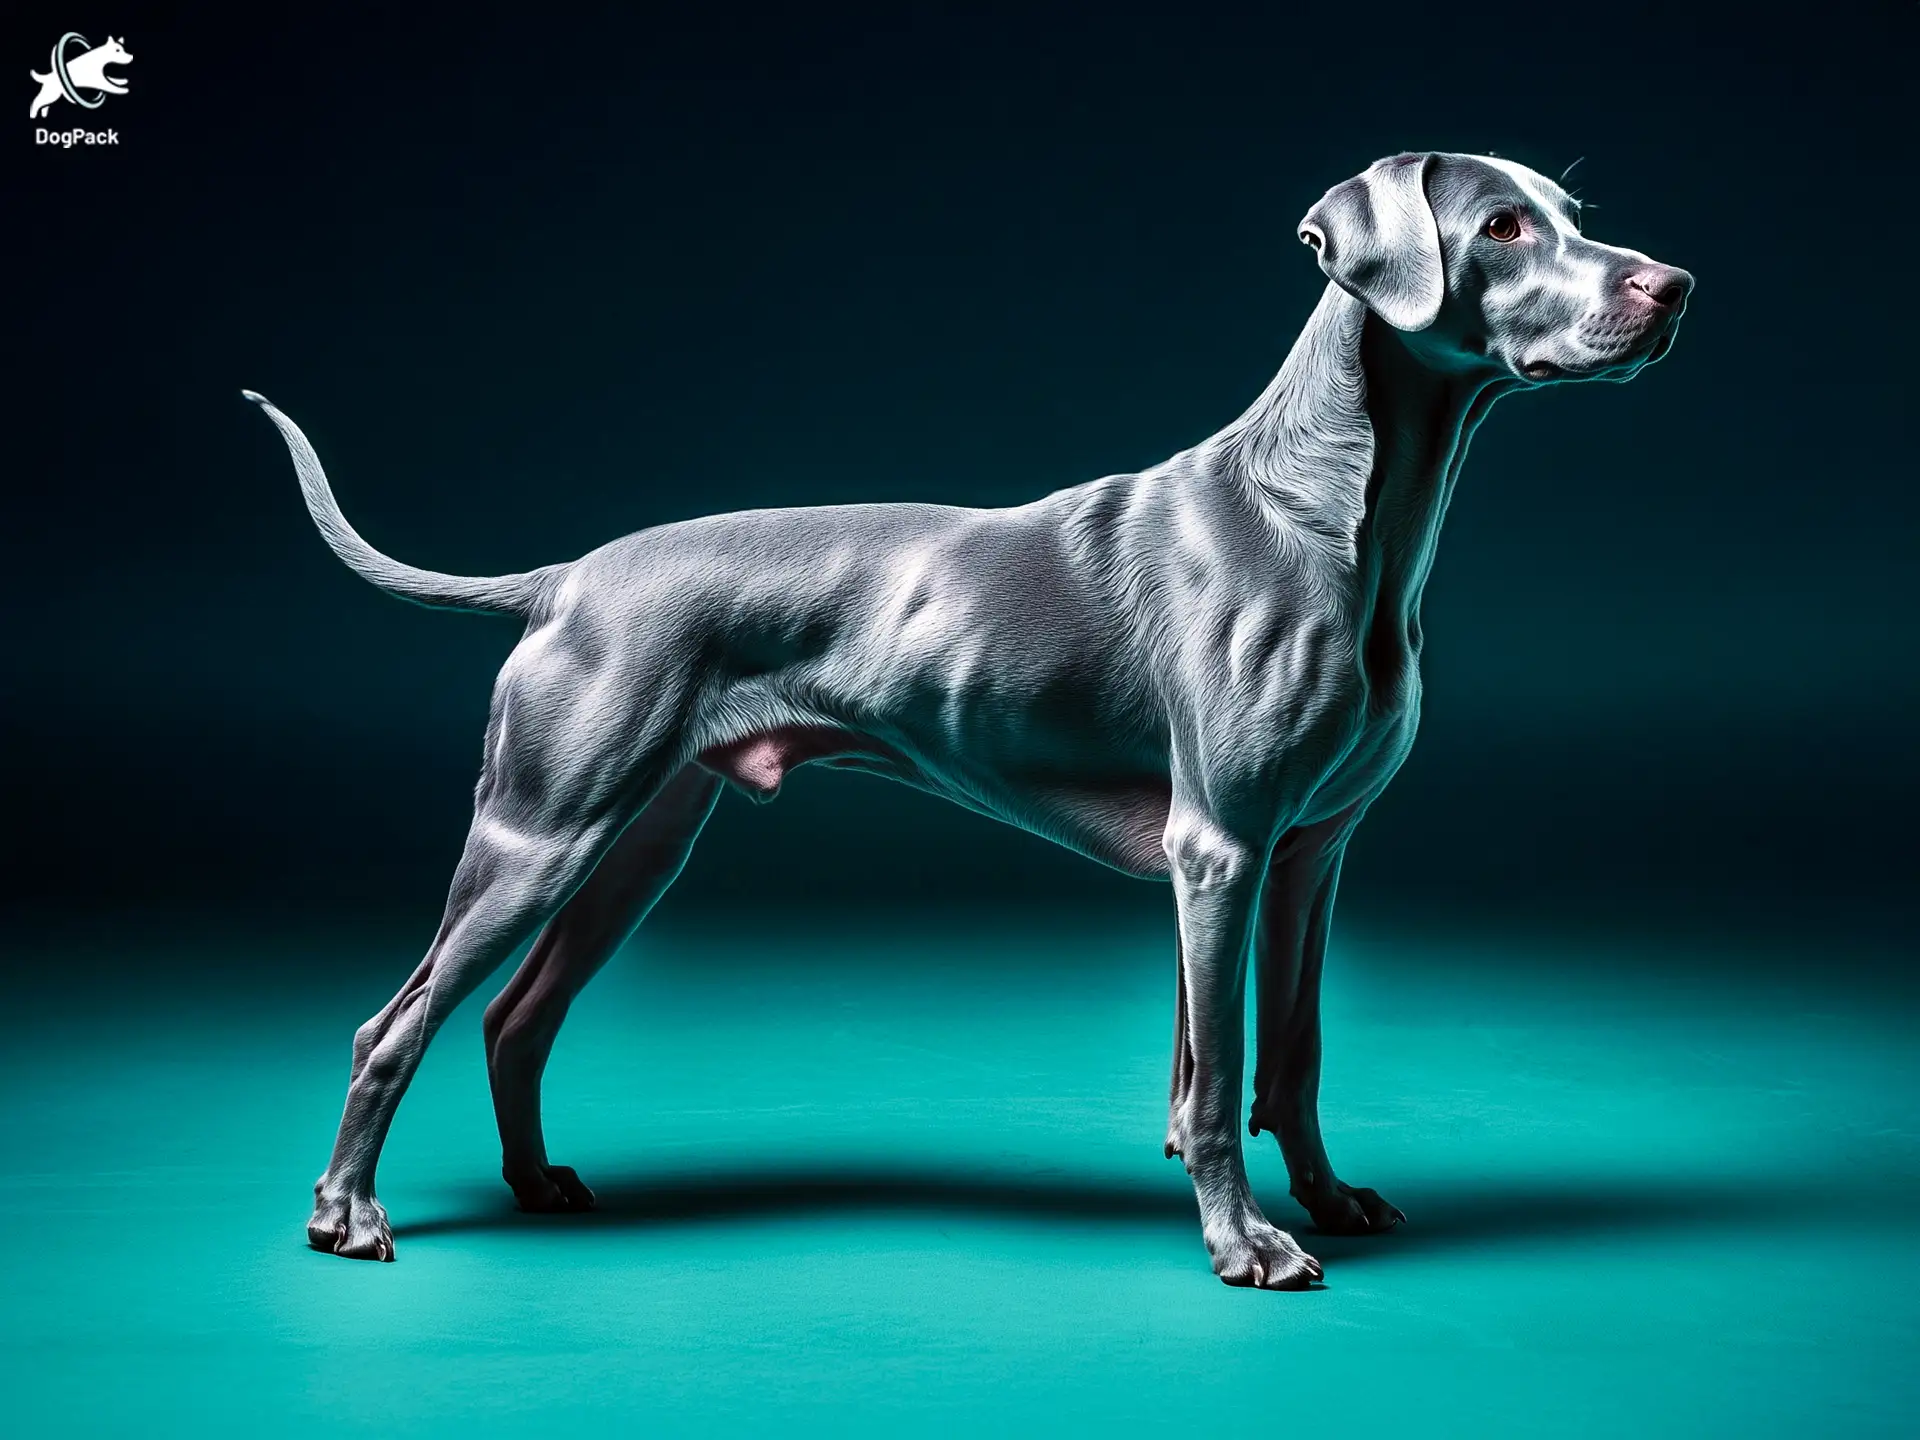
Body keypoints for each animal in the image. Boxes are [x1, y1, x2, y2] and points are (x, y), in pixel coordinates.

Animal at [243, 152, 1697, 1290]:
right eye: (1501, 226)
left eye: (1571, 212)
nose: (1673, 285)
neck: (1335, 515)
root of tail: (567, 578)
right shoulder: (1221, 848)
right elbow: (1219, 1076)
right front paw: (1248, 1246)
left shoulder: (1304, 860)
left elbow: (1286, 1054)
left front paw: (1328, 1201)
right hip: (538, 834)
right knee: (395, 1026)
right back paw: (347, 1215)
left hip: (639, 842)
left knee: (513, 1017)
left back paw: (538, 1184)